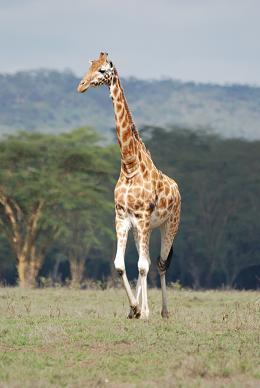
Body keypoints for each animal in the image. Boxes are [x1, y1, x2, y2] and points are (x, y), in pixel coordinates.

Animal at [77, 52, 181, 318]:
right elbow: (120, 265)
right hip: (142, 229)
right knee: (146, 261)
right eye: (89, 66)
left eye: (103, 70)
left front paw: (143, 311)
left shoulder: (143, 217)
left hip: (168, 225)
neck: (130, 165)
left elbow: (142, 266)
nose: (81, 86)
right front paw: (134, 308)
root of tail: (177, 188)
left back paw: (163, 312)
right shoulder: (122, 217)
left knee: (159, 263)